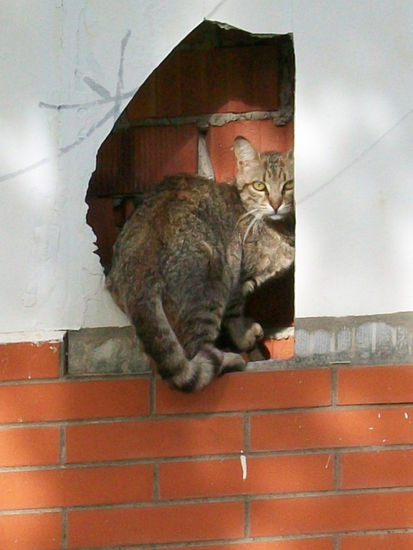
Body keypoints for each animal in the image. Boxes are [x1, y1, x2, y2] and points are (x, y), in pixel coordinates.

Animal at [106, 140, 292, 394]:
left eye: (289, 185)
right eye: (259, 186)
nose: (276, 204)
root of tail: (140, 263)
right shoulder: (237, 277)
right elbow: (235, 313)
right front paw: (244, 336)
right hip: (211, 285)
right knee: (195, 349)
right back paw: (228, 359)